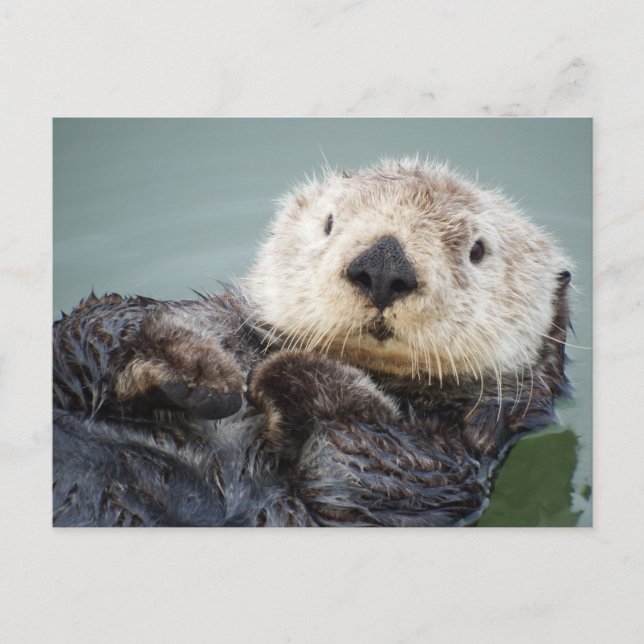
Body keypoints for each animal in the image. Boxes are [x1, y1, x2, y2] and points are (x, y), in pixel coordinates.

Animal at [52, 158, 572, 527]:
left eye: (478, 250)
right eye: (328, 223)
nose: (384, 264)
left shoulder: (448, 466)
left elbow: (367, 463)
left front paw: (283, 372)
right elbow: (90, 329)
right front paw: (201, 370)